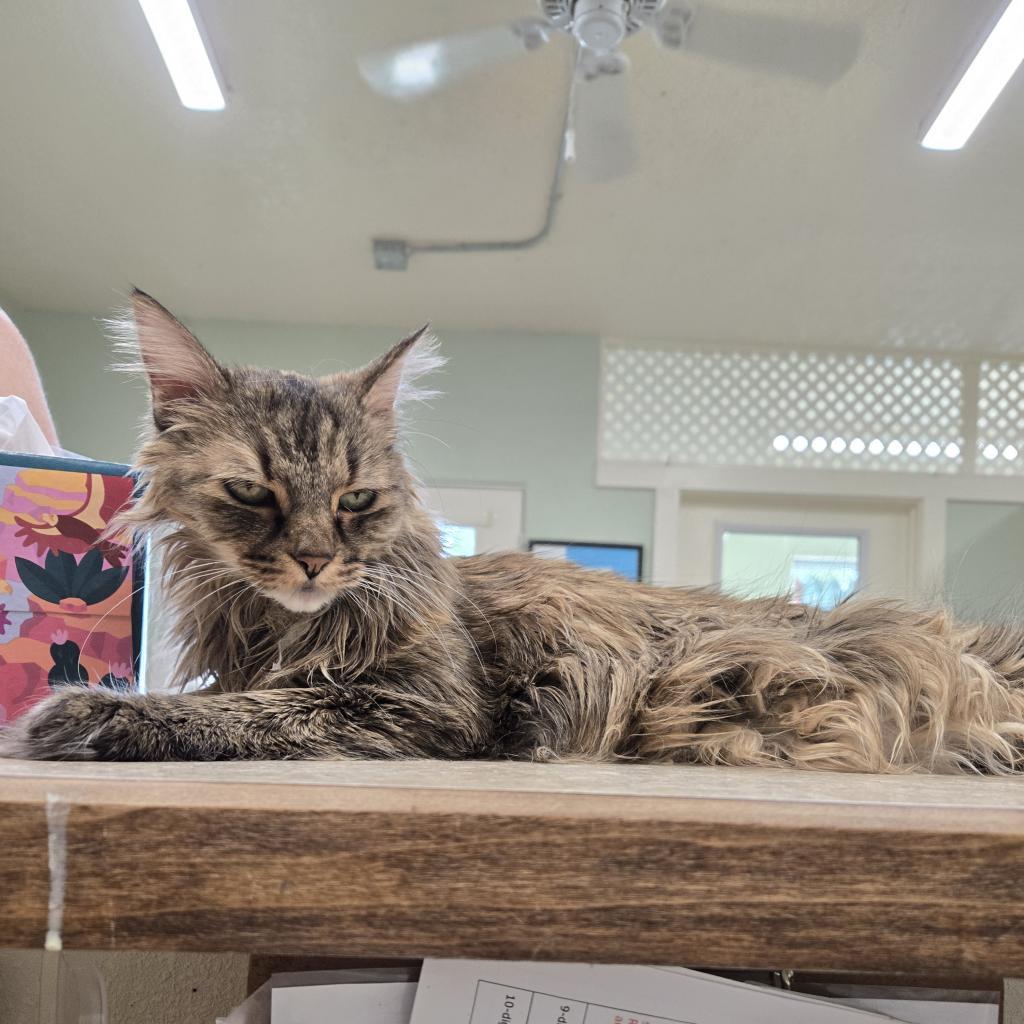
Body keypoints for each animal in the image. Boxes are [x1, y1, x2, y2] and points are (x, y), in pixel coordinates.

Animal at [2, 288, 1024, 770]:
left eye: (356, 500)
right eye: (253, 492)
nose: (315, 560)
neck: (277, 626)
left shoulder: (422, 701)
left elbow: (238, 712)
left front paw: (74, 711)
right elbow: (226, 692)